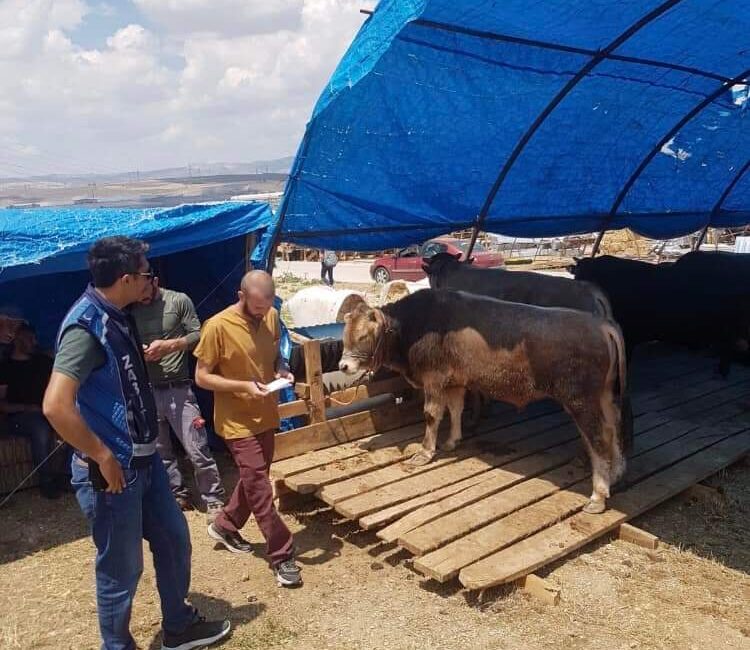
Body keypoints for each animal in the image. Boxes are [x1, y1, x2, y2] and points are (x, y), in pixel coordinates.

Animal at [344, 288, 632, 512]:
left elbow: (432, 414)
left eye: (363, 336)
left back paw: (598, 495)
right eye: (345, 335)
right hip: (605, 396)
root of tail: (599, 324)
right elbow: (456, 409)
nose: (343, 365)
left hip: (581, 401)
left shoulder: (434, 380)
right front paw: (452, 441)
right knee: (614, 427)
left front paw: (425, 451)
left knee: (598, 438)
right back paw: (616, 473)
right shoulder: (456, 381)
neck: (415, 326)